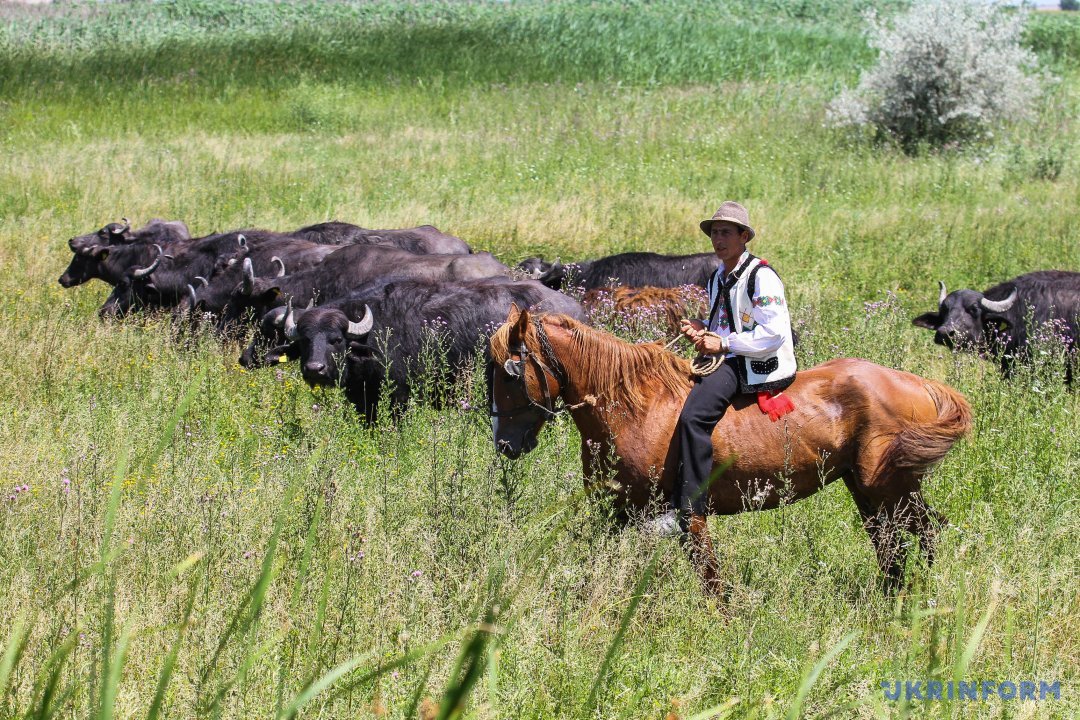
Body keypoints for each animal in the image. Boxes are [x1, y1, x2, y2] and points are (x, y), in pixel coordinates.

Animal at [490, 306, 972, 591]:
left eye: (510, 373)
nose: (505, 443)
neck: (633, 409)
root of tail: (916, 384)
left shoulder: (687, 514)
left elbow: (711, 579)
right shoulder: (619, 513)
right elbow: (596, 565)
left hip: (889, 488)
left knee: (924, 534)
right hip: (871, 491)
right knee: (897, 546)